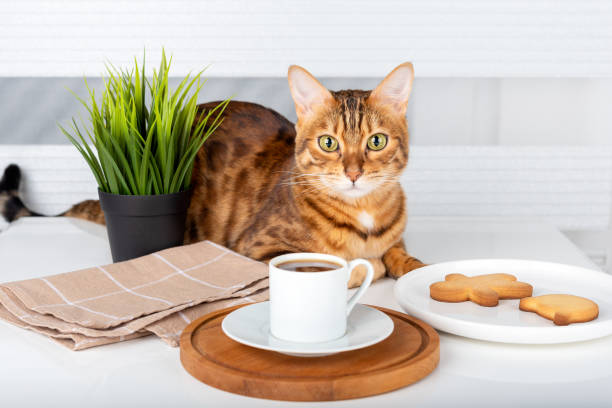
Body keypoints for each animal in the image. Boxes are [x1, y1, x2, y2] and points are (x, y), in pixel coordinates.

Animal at [0, 63, 426, 286]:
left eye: (376, 142)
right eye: (328, 143)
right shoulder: (259, 249)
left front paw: (416, 269)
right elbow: (348, 265)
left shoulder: (397, 238)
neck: (363, 215)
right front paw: (370, 265)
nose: (353, 172)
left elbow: (400, 255)